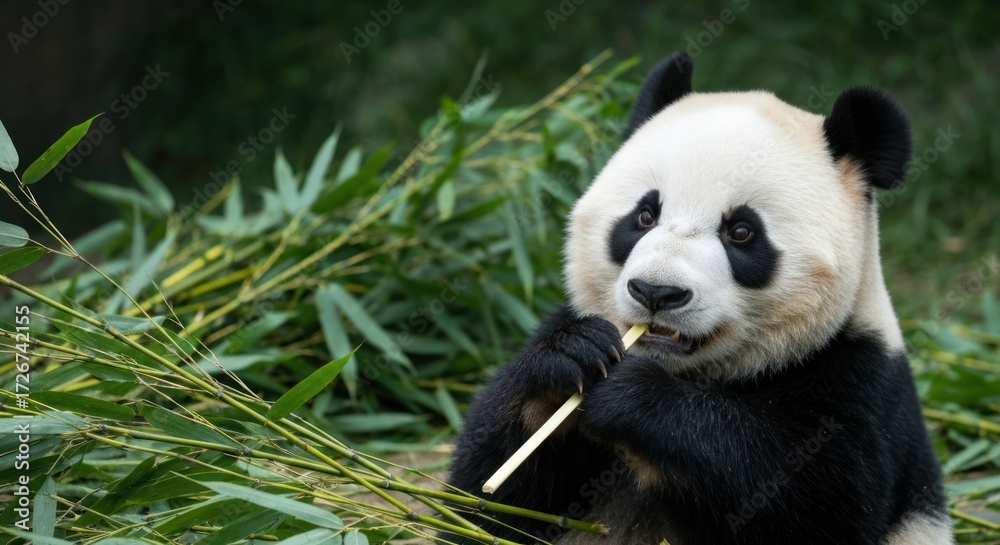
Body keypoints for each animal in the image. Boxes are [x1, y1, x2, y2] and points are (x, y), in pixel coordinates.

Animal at [447, 52, 951, 545]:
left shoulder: (858, 382)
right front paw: (571, 357)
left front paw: (634, 396)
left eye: (742, 232)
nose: (655, 291)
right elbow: (486, 501)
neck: (703, 374)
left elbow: (808, 497)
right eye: (645, 215)